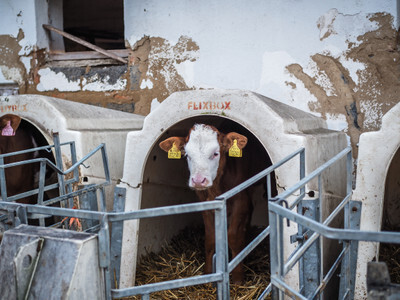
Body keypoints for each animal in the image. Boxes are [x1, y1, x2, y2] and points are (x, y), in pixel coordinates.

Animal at [159, 123, 253, 282]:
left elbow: (233, 236)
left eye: (215, 153)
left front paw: (238, 277)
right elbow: (210, 238)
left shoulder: (241, 200)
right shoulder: (204, 202)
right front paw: (208, 273)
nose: (198, 180)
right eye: (187, 155)